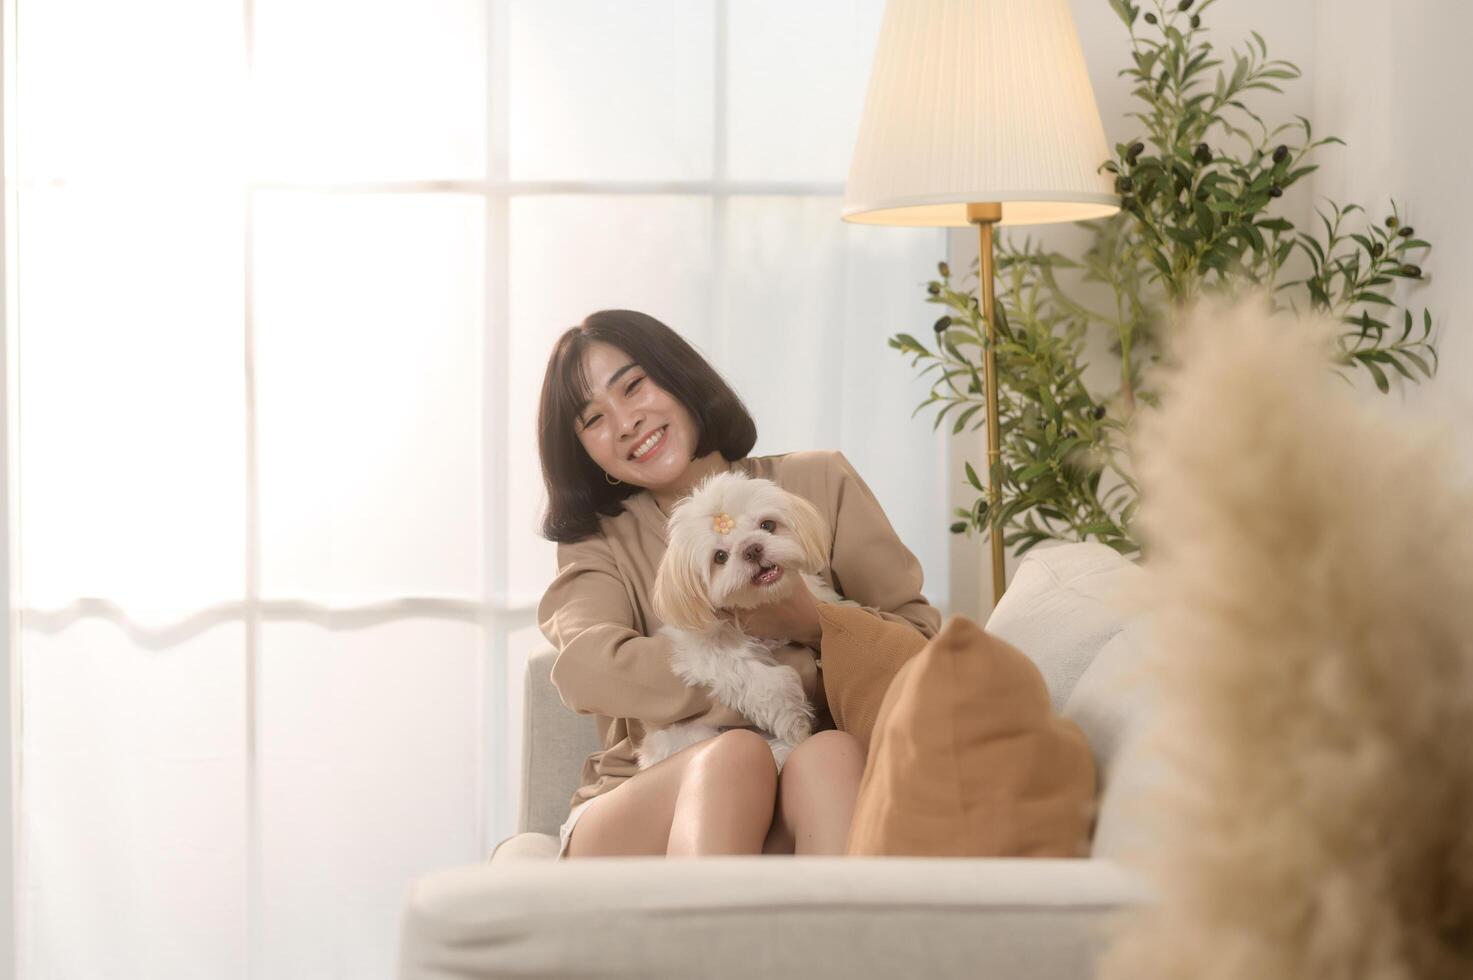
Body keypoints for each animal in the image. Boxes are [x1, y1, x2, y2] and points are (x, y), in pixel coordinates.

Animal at [645, 471, 854, 766]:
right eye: (720, 557)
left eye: (768, 525)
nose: (753, 549)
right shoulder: (707, 652)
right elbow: (763, 680)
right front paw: (794, 722)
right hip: (689, 736)